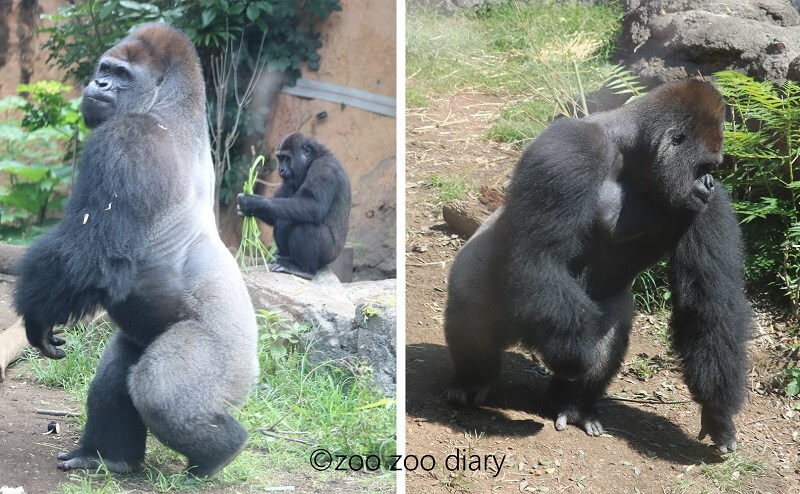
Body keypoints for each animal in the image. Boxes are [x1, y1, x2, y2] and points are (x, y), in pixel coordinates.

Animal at [14, 24, 258, 478]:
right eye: (105, 70)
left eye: (121, 76)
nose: (99, 84)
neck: (171, 105)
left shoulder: (129, 139)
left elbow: (87, 255)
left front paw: (36, 320)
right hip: (143, 334)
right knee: (118, 372)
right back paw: (107, 456)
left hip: (228, 358)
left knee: (159, 393)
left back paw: (220, 452)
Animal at [236, 133, 352, 280]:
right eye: (280, 159)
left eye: (286, 158)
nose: (281, 169)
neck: (314, 158)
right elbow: (275, 211)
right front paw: (245, 208)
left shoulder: (324, 168)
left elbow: (313, 206)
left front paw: (252, 203)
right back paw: (286, 258)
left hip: (328, 256)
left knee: (304, 226)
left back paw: (304, 270)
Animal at [446, 80, 752, 456]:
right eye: (704, 166)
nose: (709, 183)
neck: (633, 153)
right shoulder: (571, 150)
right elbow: (540, 256)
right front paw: (574, 358)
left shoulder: (708, 204)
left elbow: (709, 303)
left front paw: (718, 412)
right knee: (474, 309)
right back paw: (472, 379)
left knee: (607, 326)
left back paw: (573, 404)